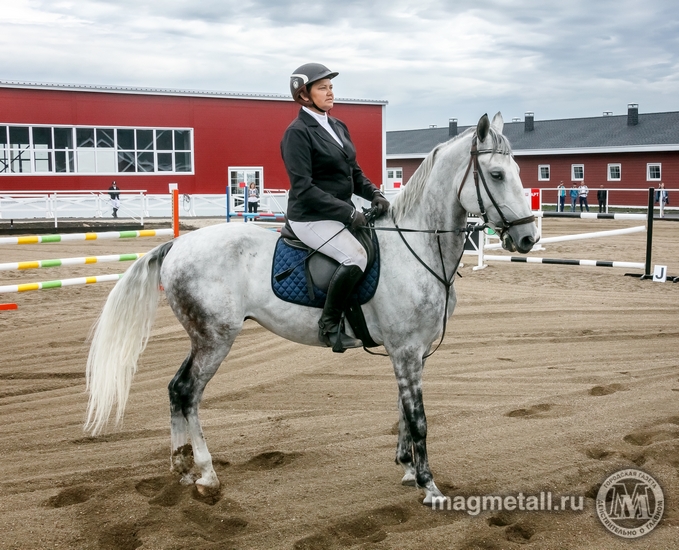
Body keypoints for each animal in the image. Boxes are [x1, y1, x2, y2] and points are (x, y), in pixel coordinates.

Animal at [86, 114, 540, 506]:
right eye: (497, 175)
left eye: (519, 173)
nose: (528, 239)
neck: (418, 246)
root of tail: (177, 244)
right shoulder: (407, 350)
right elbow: (419, 418)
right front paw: (429, 486)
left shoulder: (413, 352)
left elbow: (402, 410)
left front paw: (408, 468)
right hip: (215, 339)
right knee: (188, 393)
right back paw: (207, 475)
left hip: (202, 338)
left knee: (175, 391)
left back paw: (182, 470)